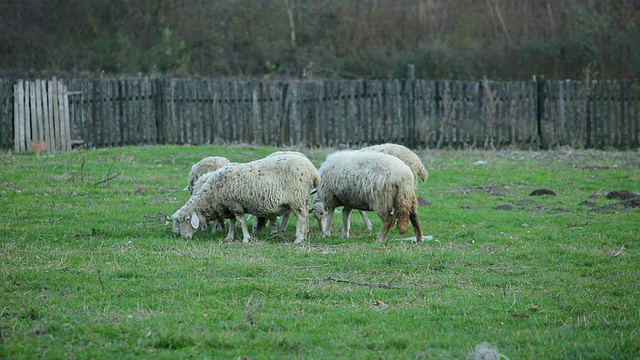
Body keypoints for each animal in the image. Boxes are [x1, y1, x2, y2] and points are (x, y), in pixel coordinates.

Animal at [172, 153, 320, 243]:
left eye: (187, 220)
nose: (184, 237)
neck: (212, 194)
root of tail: (313, 170)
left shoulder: (235, 205)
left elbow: (240, 221)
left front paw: (246, 238)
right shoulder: (229, 207)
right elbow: (232, 223)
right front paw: (229, 238)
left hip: (297, 198)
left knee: (301, 218)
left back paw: (298, 239)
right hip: (303, 199)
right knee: (305, 217)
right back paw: (304, 236)